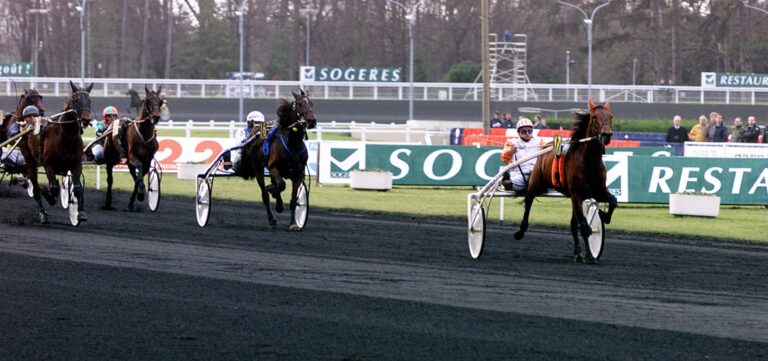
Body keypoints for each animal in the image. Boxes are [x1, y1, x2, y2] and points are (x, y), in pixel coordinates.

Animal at [17, 81, 93, 222]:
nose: (86, 119)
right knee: (36, 187)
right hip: (29, 160)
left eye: (89, 100)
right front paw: (49, 195)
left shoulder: (76, 164)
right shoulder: (48, 165)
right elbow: (53, 188)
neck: (66, 136)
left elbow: (77, 188)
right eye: (76, 100)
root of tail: (28, 123)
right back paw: (42, 213)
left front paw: (80, 213)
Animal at [237, 86, 316, 231]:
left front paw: (294, 223)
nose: (312, 121)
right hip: (258, 167)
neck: (293, 143)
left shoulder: (298, 174)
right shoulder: (274, 167)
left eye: (312, 104)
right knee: (265, 194)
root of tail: (254, 132)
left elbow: (293, 200)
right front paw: (278, 204)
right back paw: (272, 219)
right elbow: (281, 185)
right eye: (300, 104)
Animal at [512, 99, 620, 262]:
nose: (606, 135)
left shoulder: (598, 191)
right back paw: (520, 231)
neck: (589, 162)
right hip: (535, 183)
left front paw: (603, 215)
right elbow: (585, 227)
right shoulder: (577, 194)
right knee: (528, 201)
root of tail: (545, 147)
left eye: (611, 116)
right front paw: (590, 256)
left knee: (573, 224)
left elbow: (613, 200)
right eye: (594, 117)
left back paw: (577, 252)